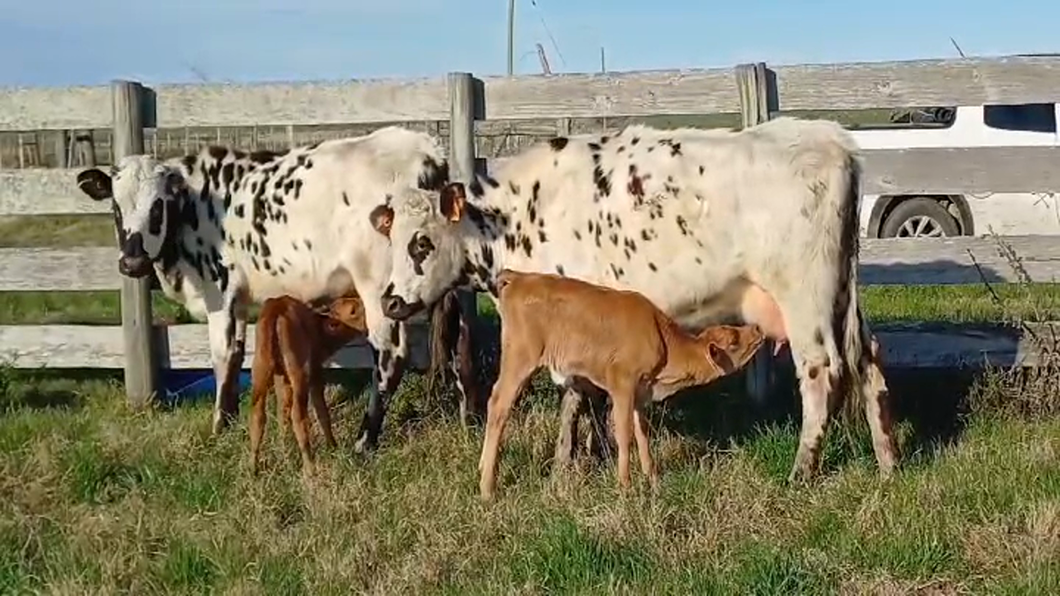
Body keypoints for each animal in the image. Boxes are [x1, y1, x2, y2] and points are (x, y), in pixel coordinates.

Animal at [78, 126, 481, 449]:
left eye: (158, 205)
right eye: (115, 207)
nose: (132, 263)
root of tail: (425, 149)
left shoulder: (219, 290)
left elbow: (222, 357)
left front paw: (217, 428)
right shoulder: (239, 300)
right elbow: (236, 355)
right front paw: (229, 420)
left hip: (380, 286)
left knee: (390, 357)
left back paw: (365, 441)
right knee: (459, 342)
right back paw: (468, 423)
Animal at [248, 292, 368, 472]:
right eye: (355, 310)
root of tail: (277, 309)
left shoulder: (281, 378)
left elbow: (281, 413)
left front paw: (285, 456)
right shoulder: (315, 373)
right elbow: (322, 412)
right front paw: (333, 447)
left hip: (260, 369)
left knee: (258, 415)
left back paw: (252, 468)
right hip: (300, 373)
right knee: (298, 416)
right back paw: (310, 467)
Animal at [479, 268, 763, 496]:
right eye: (733, 340)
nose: (758, 328)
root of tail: (519, 277)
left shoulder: (640, 392)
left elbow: (642, 433)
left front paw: (653, 479)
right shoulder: (622, 385)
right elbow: (624, 435)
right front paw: (625, 486)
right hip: (521, 358)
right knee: (498, 405)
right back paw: (487, 488)